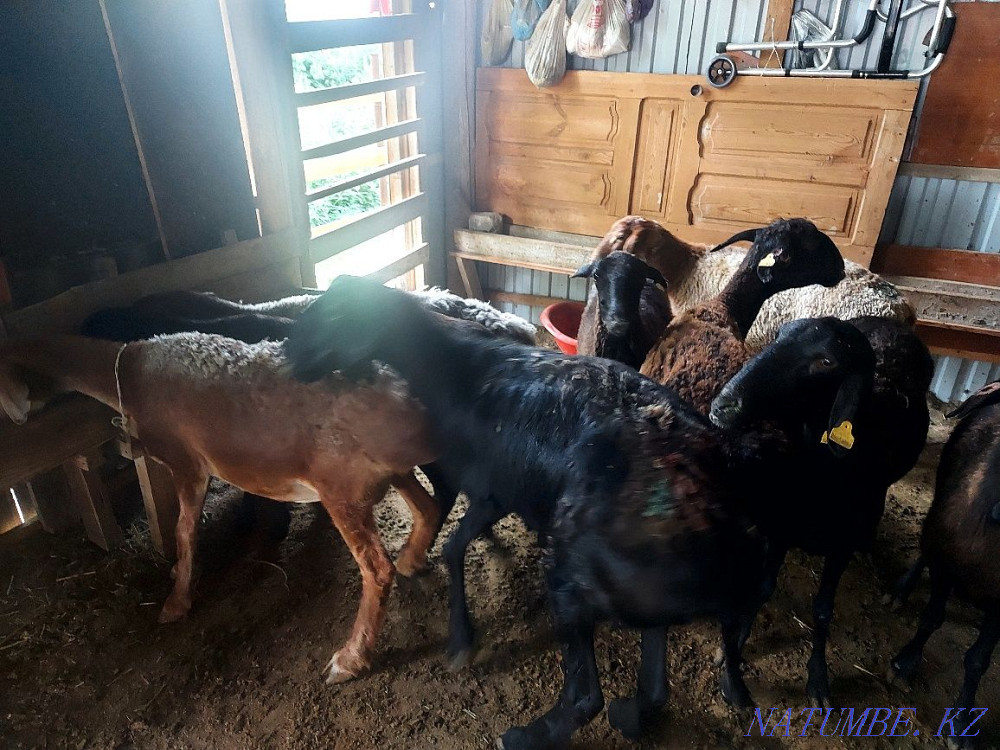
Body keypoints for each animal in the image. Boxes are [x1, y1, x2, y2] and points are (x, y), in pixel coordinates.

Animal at [0, 334, 441, 683]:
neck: (128, 372)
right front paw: (178, 575)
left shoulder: (185, 462)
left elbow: (183, 528)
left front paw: (177, 600)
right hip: (382, 473)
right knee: (429, 508)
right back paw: (412, 560)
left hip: (341, 487)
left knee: (377, 570)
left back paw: (350, 660)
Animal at [284, 276, 767, 747]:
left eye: (340, 318)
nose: (289, 354)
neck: (445, 363)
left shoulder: (489, 491)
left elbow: (453, 547)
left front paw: (460, 639)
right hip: (645, 592)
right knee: (654, 685)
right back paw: (629, 716)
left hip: (573, 579)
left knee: (586, 696)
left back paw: (526, 736)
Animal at [710, 316, 932, 706]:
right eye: (779, 335)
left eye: (827, 362)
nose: (722, 406)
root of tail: (890, 322)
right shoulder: (782, 524)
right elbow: (762, 589)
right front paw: (734, 646)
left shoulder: (839, 545)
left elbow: (823, 610)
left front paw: (818, 679)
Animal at [889, 380, 1000, 747]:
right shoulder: (944, 565)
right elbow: (930, 618)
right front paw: (904, 663)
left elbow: (978, 659)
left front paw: (963, 720)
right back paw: (900, 591)